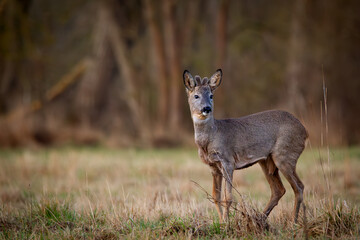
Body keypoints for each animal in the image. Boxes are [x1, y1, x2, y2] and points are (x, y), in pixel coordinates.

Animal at [184, 68, 308, 222]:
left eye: (211, 95)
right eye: (196, 96)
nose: (206, 108)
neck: (209, 139)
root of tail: (305, 131)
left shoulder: (227, 160)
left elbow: (228, 197)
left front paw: (226, 223)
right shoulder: (213, 166)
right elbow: (215, 197)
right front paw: (221, 222)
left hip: (285, 154)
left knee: (298, 187)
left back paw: (293, 221)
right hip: (267, 161)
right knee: (280, 190)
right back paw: (260, 219)